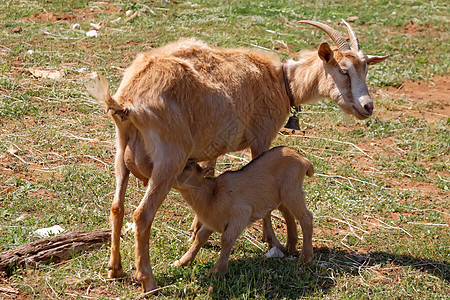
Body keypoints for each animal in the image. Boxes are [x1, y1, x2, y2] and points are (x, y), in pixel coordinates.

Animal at [87, 19, 386, 292]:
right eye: (343, 70)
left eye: (365, 68)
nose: (367, 107)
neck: (281, 81)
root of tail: (126, 102)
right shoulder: (261, 138)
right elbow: (267, 197)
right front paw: (274, 242)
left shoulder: (210, 146)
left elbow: (209, 174)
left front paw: (198, 230)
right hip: (169, 158)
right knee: (142, 214)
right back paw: (147, 280)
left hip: (120, 152)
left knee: (117, 206)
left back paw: (115, 269)